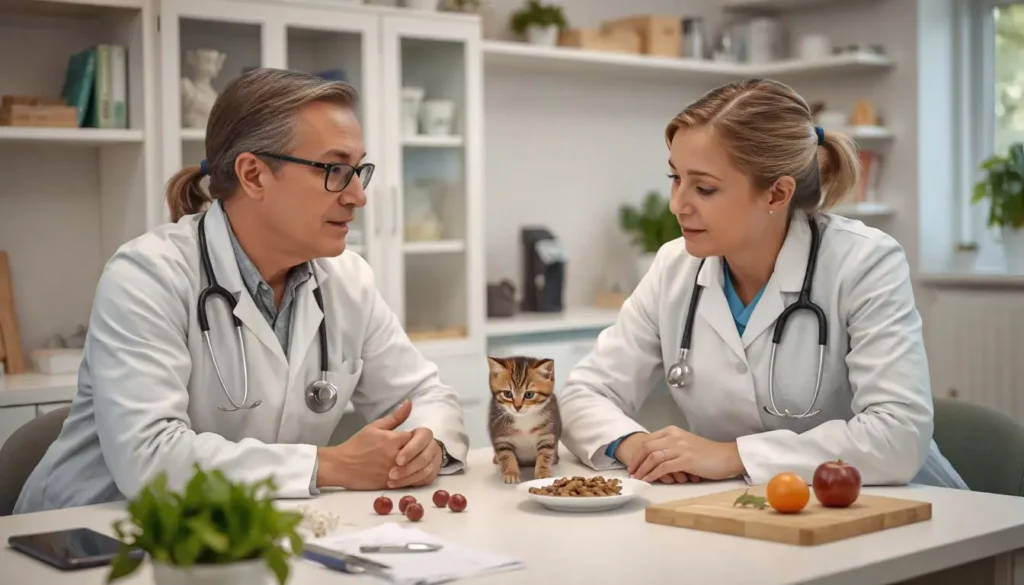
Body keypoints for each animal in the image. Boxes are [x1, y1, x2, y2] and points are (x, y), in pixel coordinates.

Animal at [485, 356, 565, 485]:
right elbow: (506, 455)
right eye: (507, 394)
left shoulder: (547, 435)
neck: (523, 419)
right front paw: (511, 473)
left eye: (529, 394)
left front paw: (542, 472)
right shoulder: (500, 436)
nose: (517, 407)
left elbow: (545, 454)